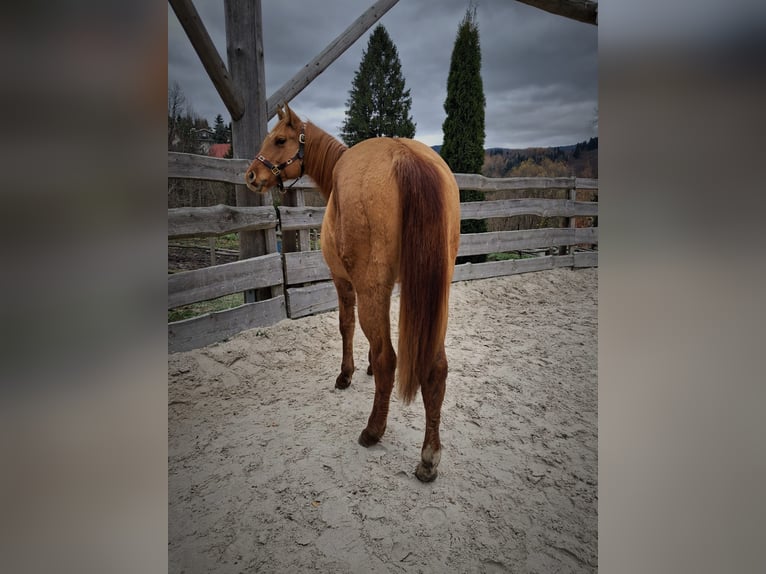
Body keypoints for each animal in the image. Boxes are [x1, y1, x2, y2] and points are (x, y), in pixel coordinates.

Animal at [245, 103, 460, 482]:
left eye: (280, 139)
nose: (252, 175)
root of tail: (404, 156)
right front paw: (367, 369)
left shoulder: (343, 282)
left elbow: (346, 327)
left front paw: (346, 374)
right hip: (437, 294)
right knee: (435, 367)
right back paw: (429, 457)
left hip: (370, 286)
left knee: (389, 358)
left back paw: (373, 431)